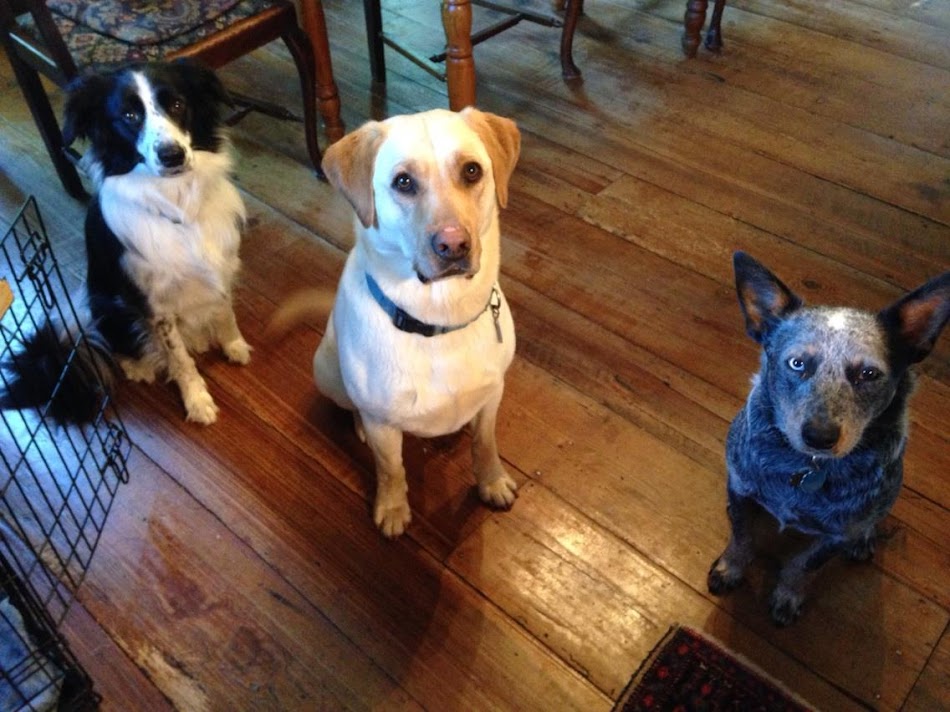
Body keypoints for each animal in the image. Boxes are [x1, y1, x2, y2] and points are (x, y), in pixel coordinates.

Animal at [712, 250, 948, 624]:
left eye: (869, 374)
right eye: (796, 363)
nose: (819, 436)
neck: (806, 469)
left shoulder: (837, 535)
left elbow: (804, 564)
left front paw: (788, 596)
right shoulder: (739, 486)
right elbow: (742, 536)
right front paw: (730, 569)